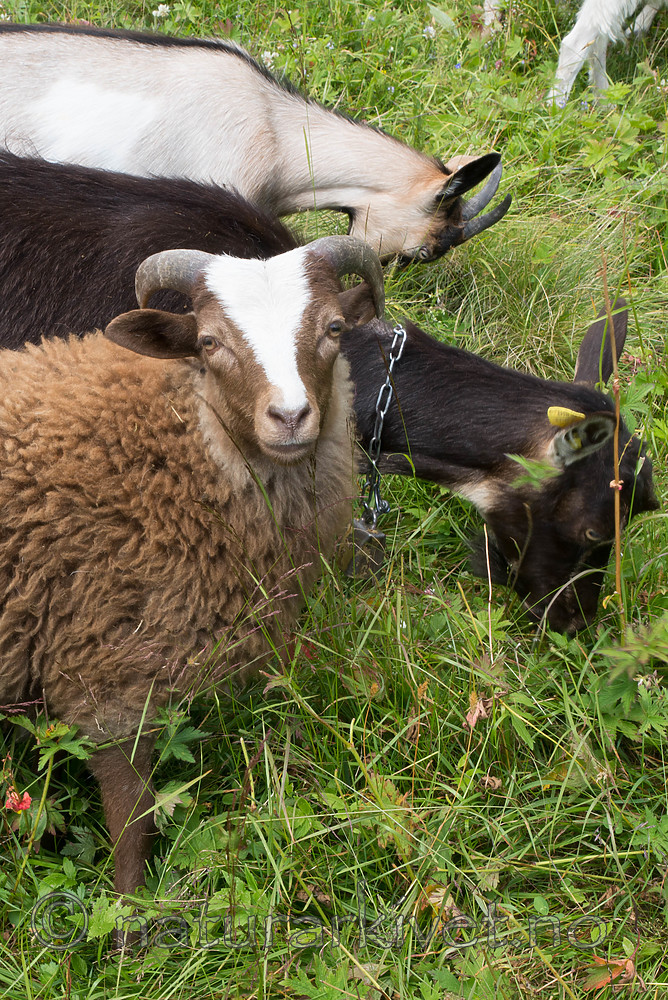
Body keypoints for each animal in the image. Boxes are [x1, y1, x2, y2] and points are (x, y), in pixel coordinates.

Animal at [0, 237, 385, 896]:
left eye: (334, 327)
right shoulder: (102, 668)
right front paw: (131, 915)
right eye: (208, 342)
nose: (290, 418)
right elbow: (132, 820)